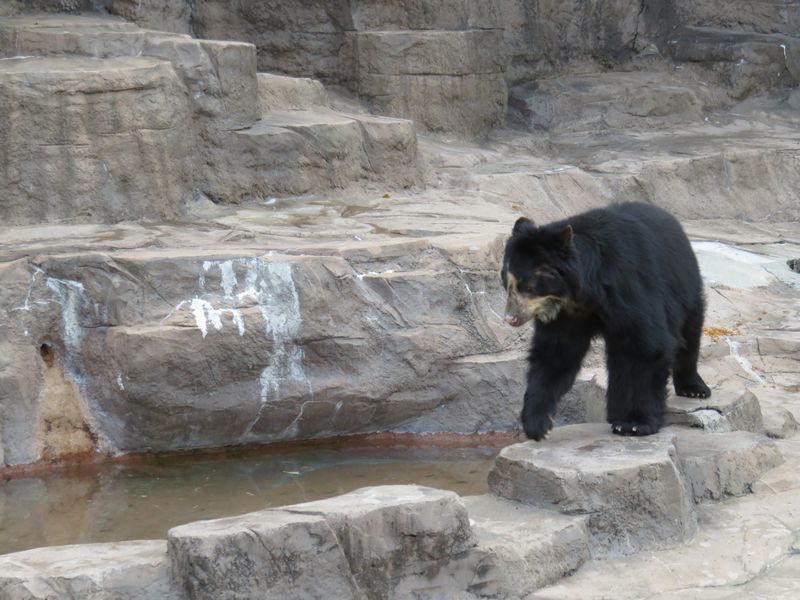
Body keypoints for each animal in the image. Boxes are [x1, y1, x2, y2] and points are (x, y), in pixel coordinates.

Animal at [504, 202, 708, 440]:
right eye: (507, 284)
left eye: (528, 287)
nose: (510, 318)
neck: (582, 296)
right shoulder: (567, 316)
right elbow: (555, 354)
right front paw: (537, 424)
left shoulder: (629, 287)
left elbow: (648, 346)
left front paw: (635, 424)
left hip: (684, 286)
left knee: (689, 334)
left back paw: (693, 388)